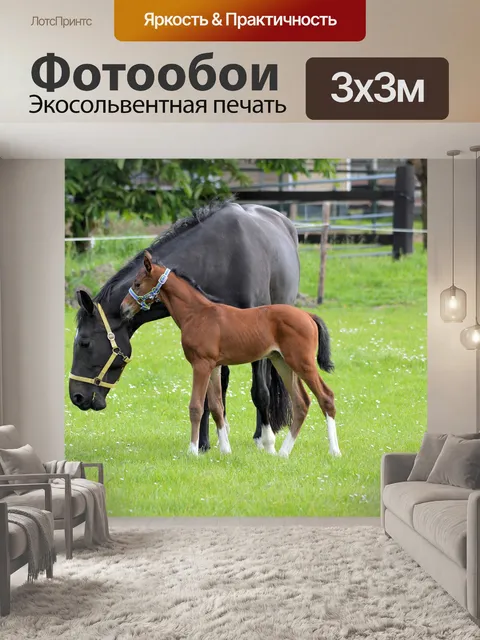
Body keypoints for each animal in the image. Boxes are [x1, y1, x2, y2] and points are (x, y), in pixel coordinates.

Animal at [69, 199, 300, 453]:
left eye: (85, 342)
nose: (76, 396)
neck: (220, 257)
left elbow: (260, 391)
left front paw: (266, 441)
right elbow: (208, 396)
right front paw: (204, 443)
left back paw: (260, 434)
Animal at [120, 251, 340, 459]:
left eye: (137, 284)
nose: (123, 308)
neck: (197, 313)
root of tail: (308, 315)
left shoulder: (201, 364)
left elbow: (196, 406)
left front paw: (192, 451)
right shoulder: (215, 366)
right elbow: (217, 407)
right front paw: (225, 450)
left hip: (302, 362)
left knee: (326, 397)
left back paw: (334, 451)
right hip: (282, 362)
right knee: (301, 403)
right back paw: (283, 453)